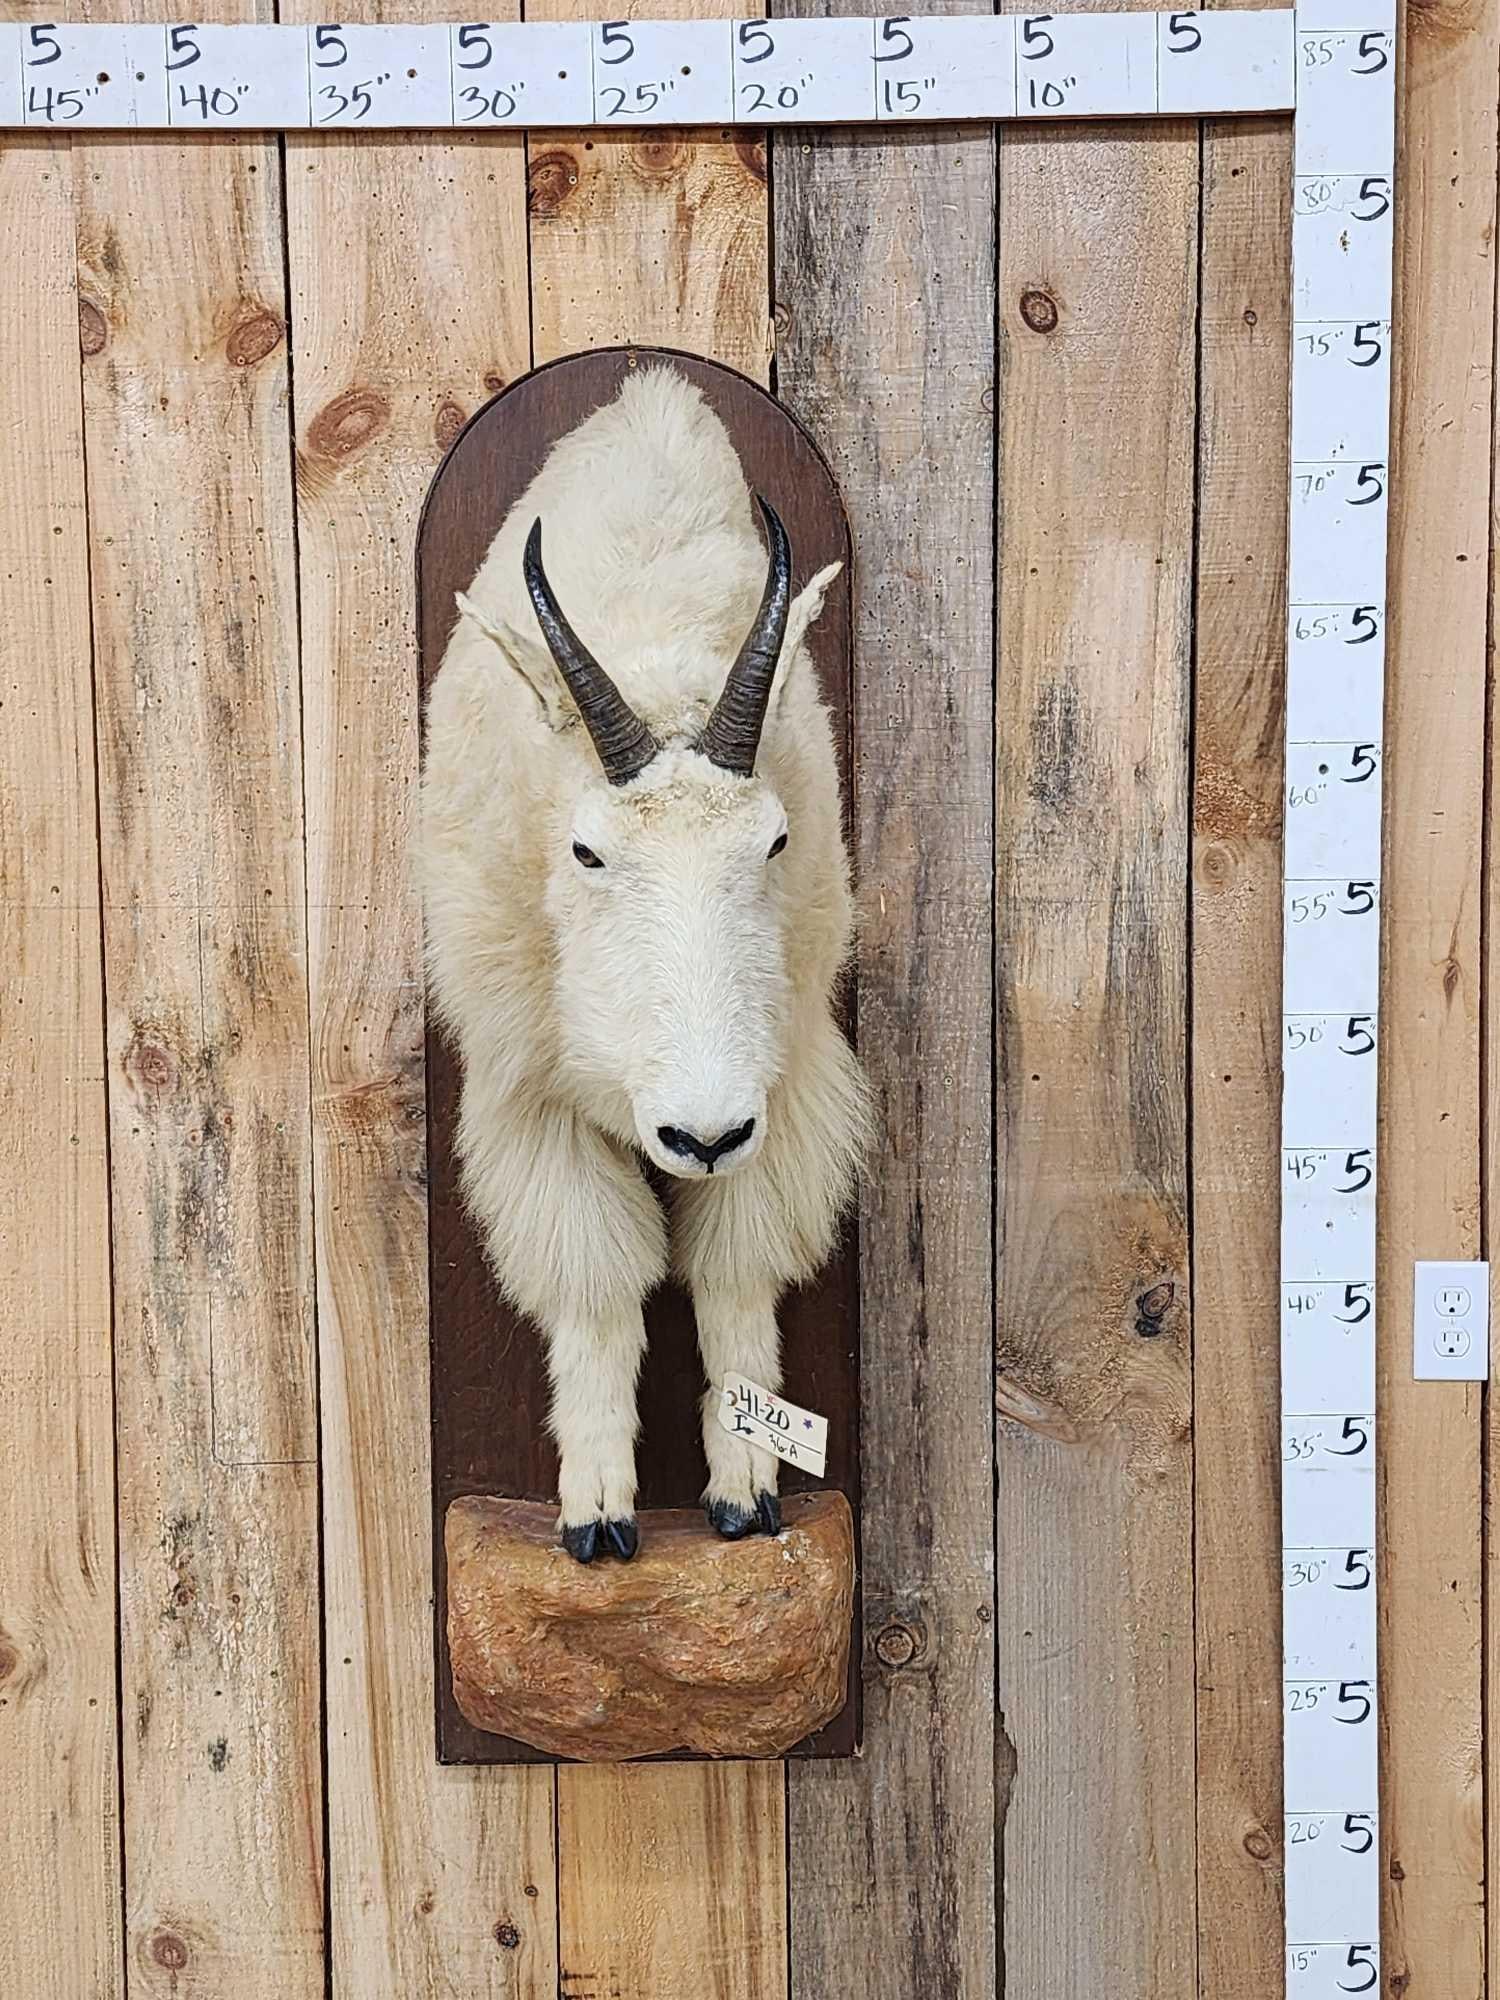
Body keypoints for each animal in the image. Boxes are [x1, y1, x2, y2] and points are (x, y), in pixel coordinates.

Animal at [420, 367, 868, 1562]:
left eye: (775, 840)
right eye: (587, 851)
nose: (699, 1137)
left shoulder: (777, 1089)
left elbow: (734, 1273)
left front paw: (748, 1493)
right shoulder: (532, 1097)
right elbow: (595, 1293)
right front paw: (597, 1509)